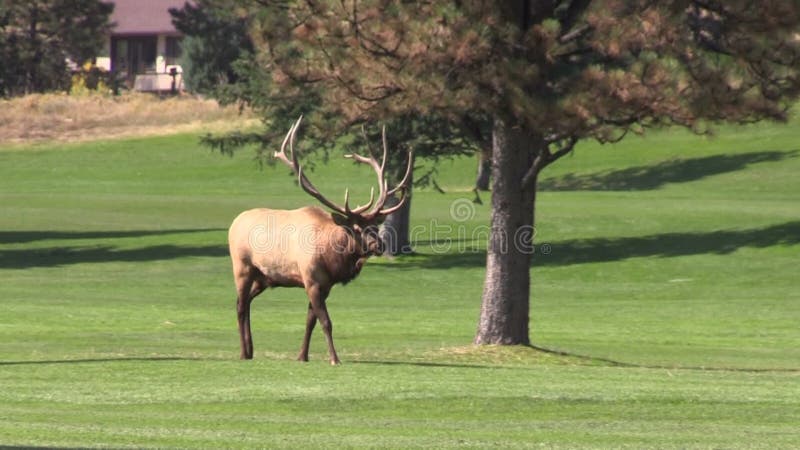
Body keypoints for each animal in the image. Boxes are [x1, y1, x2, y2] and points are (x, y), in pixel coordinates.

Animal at [227, 117, 410, 366]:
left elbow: (310, 321)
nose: (379, 245)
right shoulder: (311, 279)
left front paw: (302, 356)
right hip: (242, 267)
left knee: (246, 303)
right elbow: (326, 322)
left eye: (374, 225)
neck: (331, 258)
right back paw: (243, 352)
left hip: (264, 277)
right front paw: (334, 358)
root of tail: (233, 223)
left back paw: (250, 350)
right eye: (356, 228)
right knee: (240, 305)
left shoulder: (325, 285)